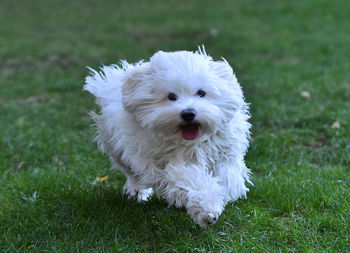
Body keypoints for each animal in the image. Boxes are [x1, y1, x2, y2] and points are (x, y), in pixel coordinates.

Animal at [85, 48, 252, 227]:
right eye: (171, 96)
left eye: (201, 93)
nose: (188, 113)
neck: (189, 143)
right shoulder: (157, 164)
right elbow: (187, 178)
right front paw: (206, 208)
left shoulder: (225, 155)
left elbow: (225, 178)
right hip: (119, 150)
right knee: (132, 174)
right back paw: (137, 193)